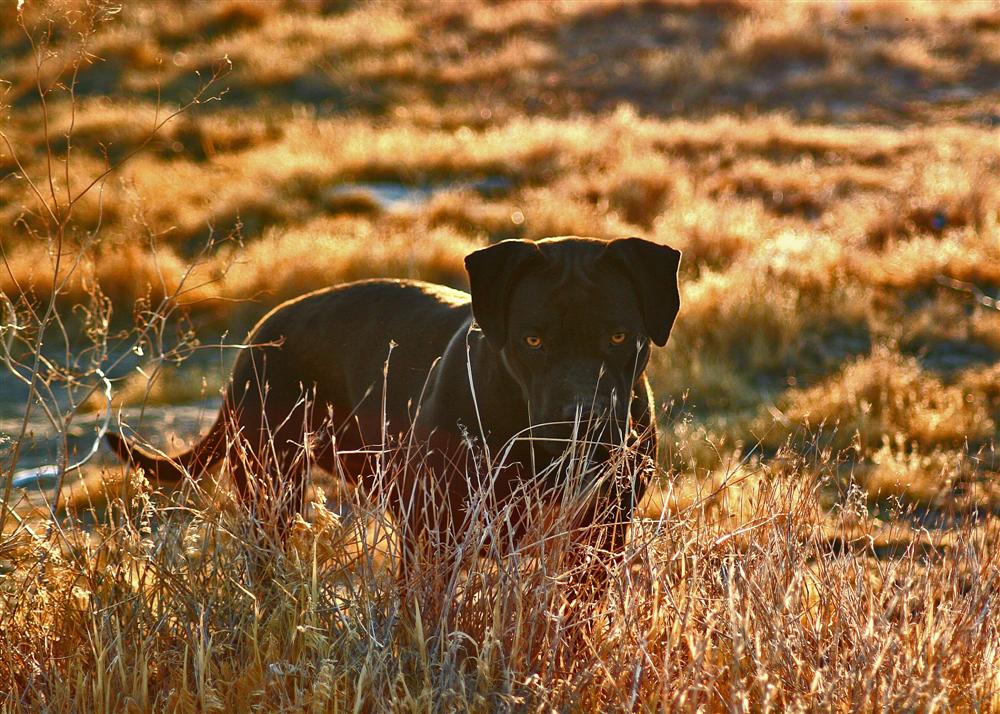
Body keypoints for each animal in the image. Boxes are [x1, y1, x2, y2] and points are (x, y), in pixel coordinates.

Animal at [107, 238, 680, 572]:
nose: (582, 419)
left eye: (619, 336)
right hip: (271, 488)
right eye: (533, 341)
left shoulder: (600, 538)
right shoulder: (431, 538)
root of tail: (260, 334)